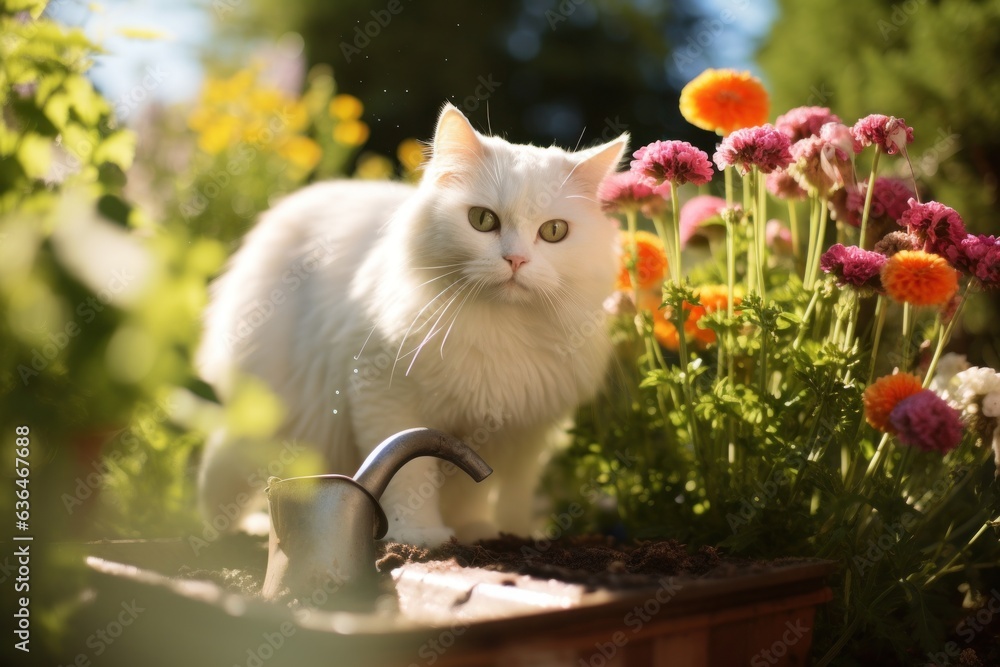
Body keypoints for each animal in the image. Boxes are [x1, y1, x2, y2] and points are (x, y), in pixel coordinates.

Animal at [197, 102, 624, 544]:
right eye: (482, 220)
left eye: (554, 231)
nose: (516, 260)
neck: (500, 330)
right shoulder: (386, 399)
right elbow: (408, 475)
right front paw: (418, 535)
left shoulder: (515, 430)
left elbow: (483, 491)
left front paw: (488, 533)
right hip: (276, 415)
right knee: (220, 466)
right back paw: (221, 533)